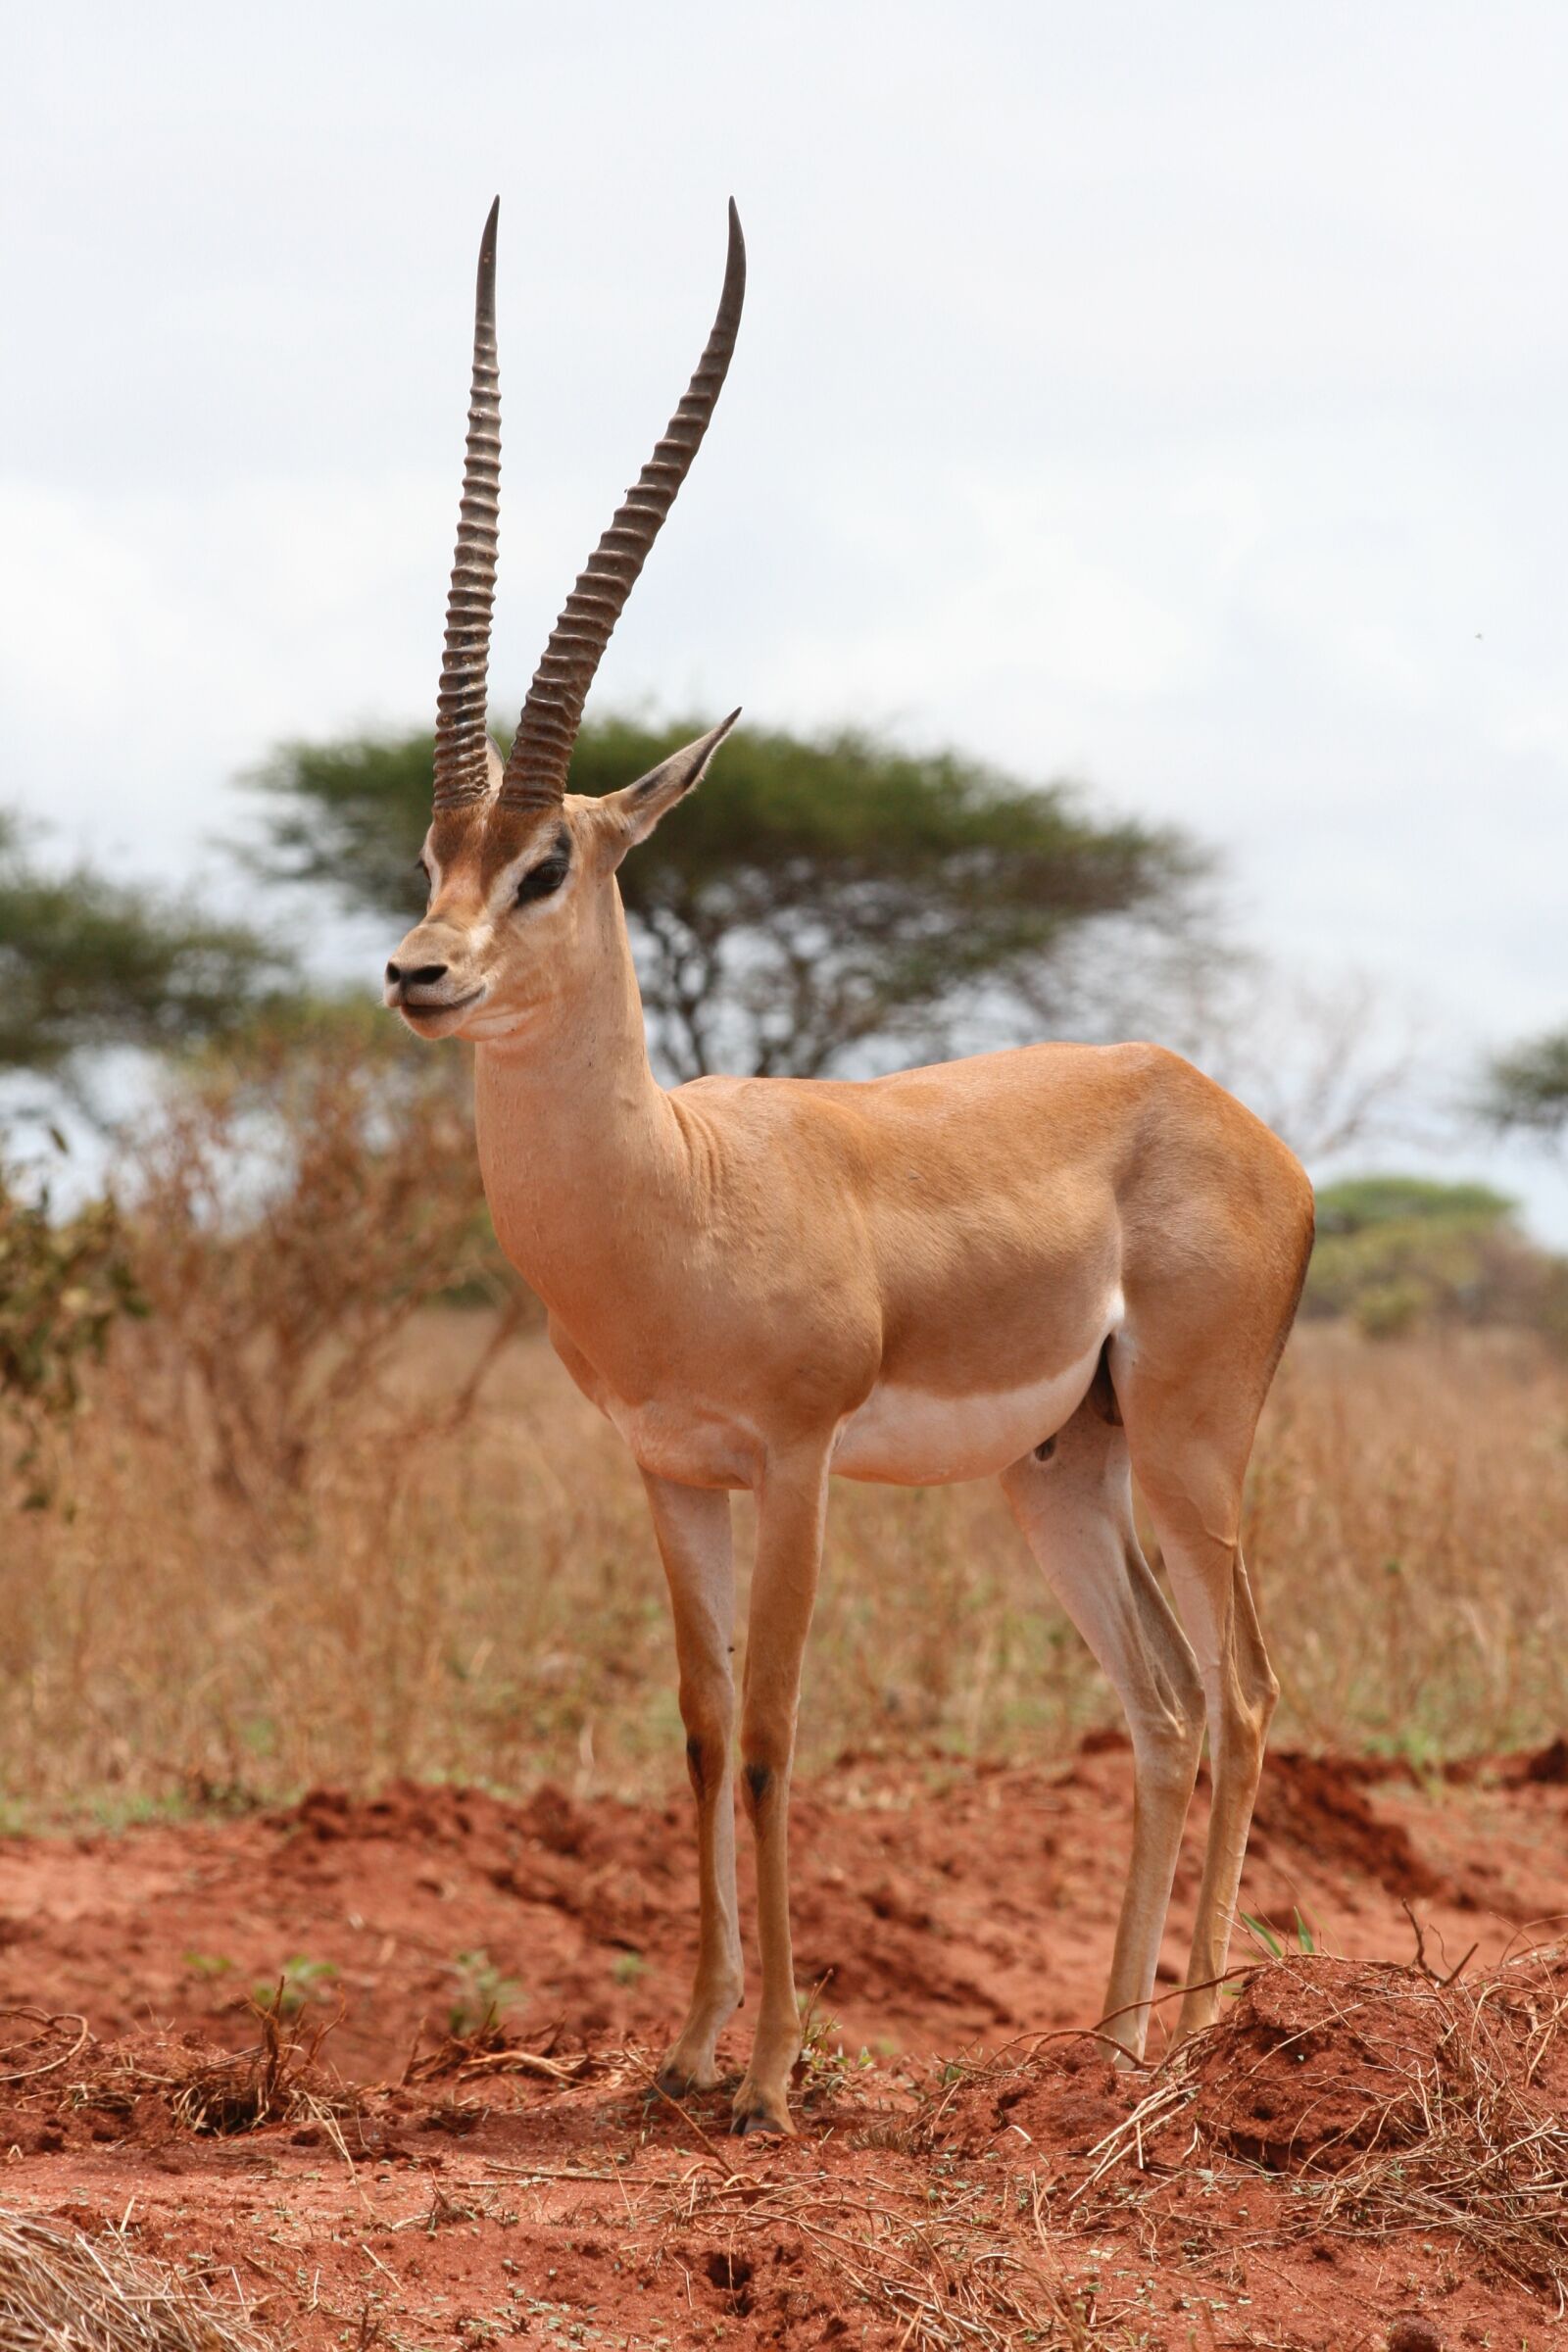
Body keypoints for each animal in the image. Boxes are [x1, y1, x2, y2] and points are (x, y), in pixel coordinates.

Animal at [383, 199, 1315, 2135]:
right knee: (1167, 1707)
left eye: (549, 866)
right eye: (434, 849)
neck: (676, 1195)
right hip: (1064, 1472)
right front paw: (681, 2052)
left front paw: (770, 2077)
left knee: (1252, 1692)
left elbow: (777, 1733)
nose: (418, 974)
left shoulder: (798, 1464)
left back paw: (1194, 2047)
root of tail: (1218, 1109)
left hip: (1195, 1450)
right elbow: (696, 1730)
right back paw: (1107, 2044)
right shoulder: (671, 1472)